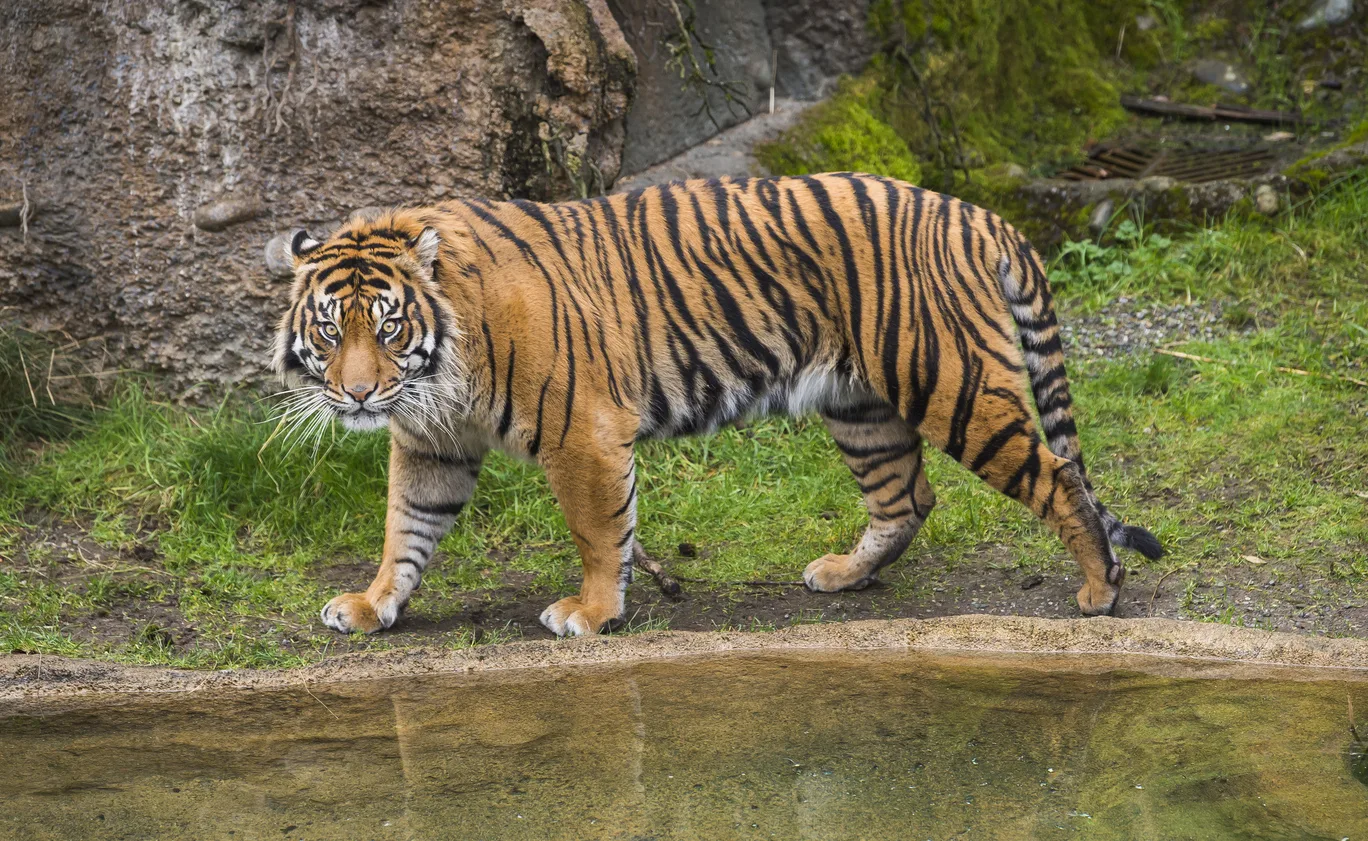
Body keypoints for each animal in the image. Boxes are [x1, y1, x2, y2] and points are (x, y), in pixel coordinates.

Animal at [272, 173, 1162, 638]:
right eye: (331, 328)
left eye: (389, 325)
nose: (359, 392)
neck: (440, 370)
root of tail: (977, 214)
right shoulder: (435, 442)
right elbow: (406, 528)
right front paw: (371, 604)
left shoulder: (582, 431)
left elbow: (598, 531)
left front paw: (593, 612)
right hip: (862, 405)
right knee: (908, 497)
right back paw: (843, 573)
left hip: (955, 382)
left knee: (1059, 478)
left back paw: (1100, 591)